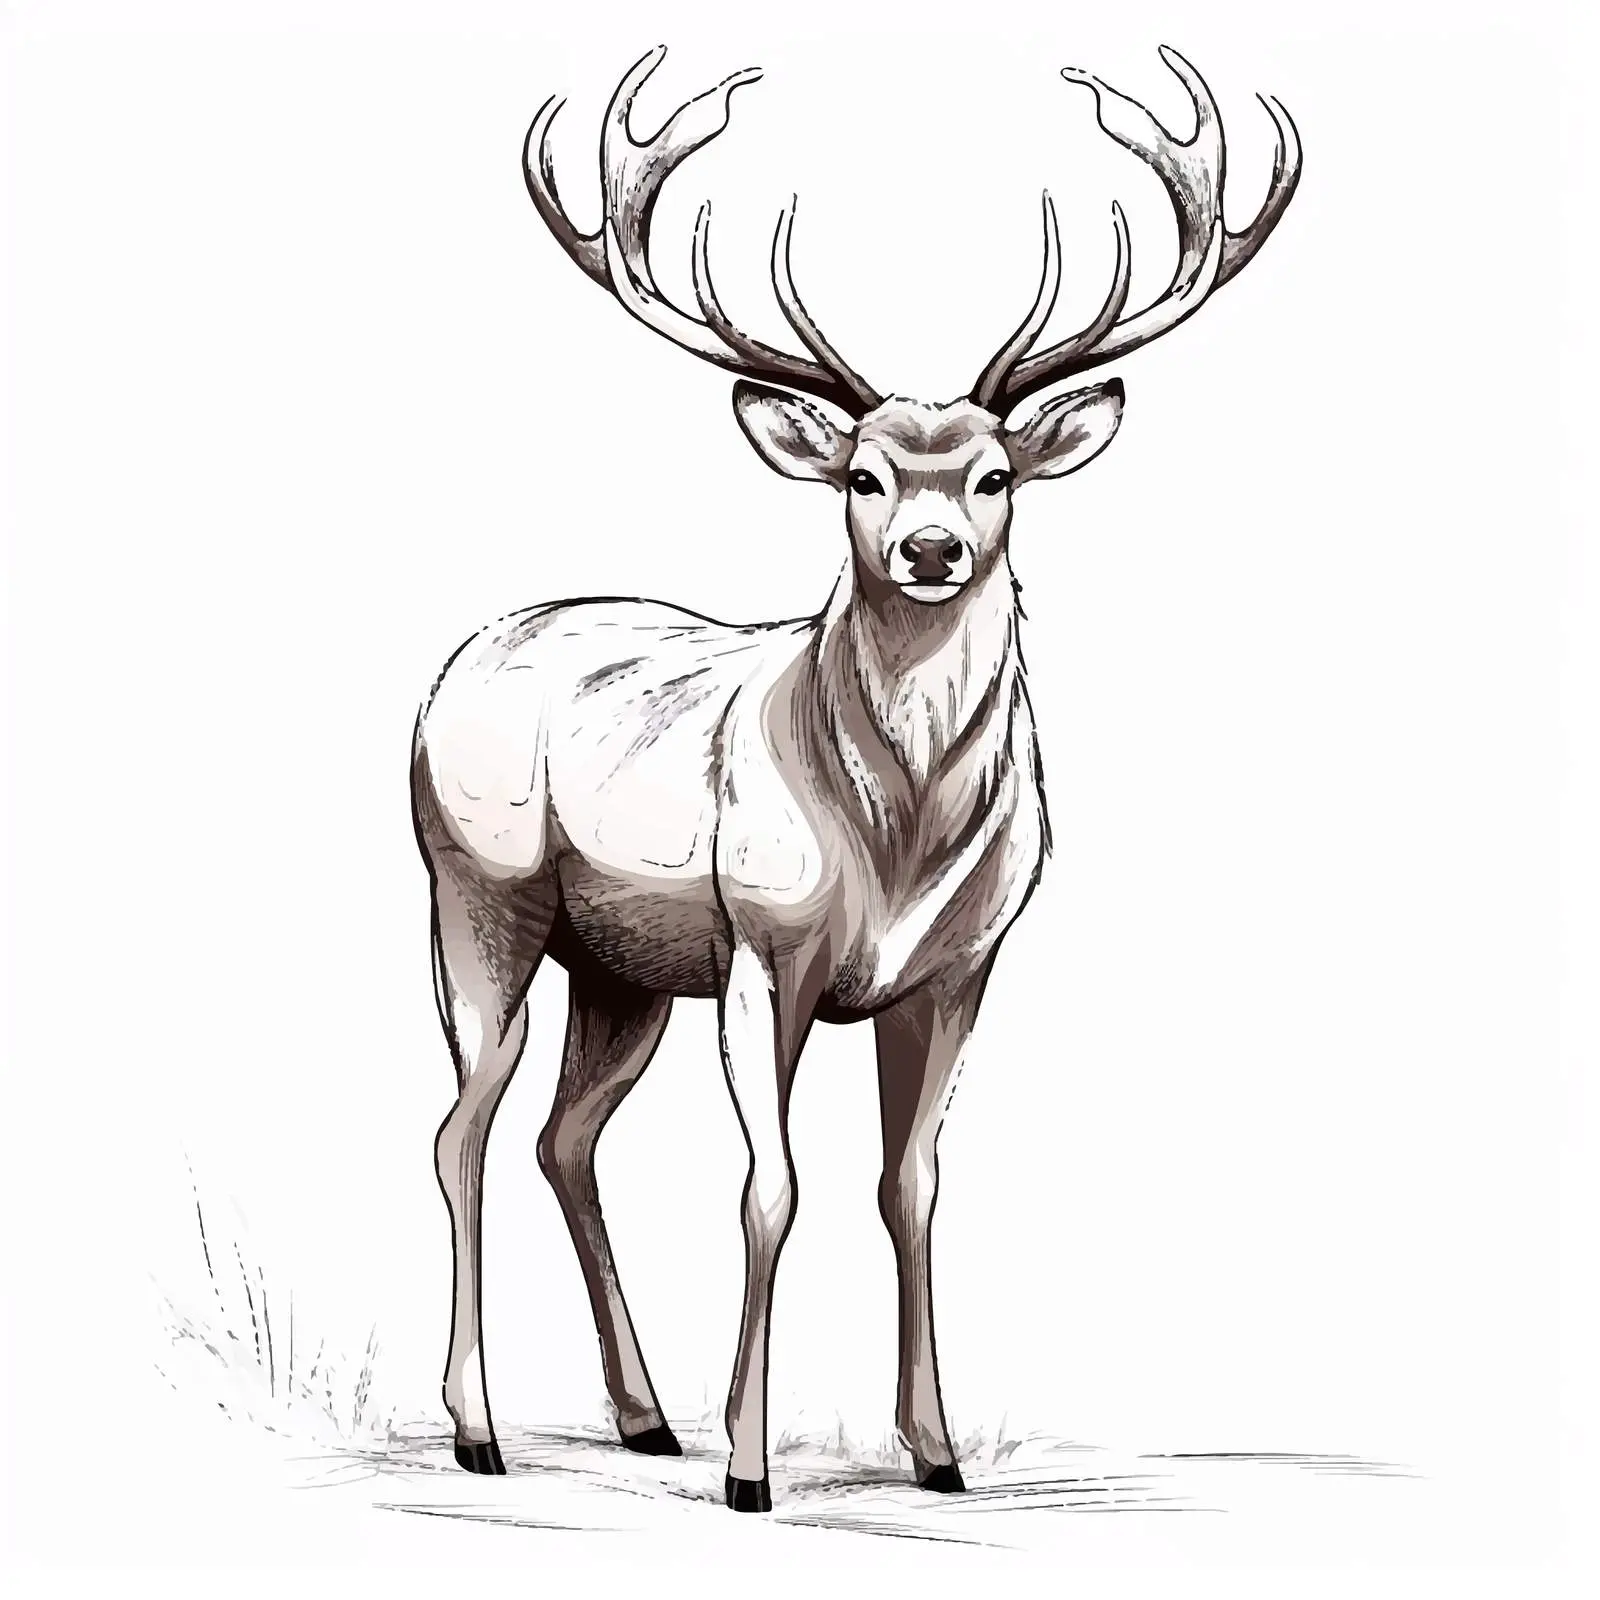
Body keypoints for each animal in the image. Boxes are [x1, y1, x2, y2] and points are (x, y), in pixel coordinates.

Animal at [411, 44, 1300, 1512]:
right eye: (864, 475)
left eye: (996, 475)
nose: (930, 549)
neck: (899, 839)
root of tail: (453, 667)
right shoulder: (762, 947)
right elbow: (770, 1190)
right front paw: (751, 1468)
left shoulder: (961, 965)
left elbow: (911, 1183)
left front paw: (936, 1453)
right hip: (476, 895)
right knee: (461, 1128)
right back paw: (480, 1428)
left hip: (623, 968)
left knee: (562, 1137)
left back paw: (644, 1417)